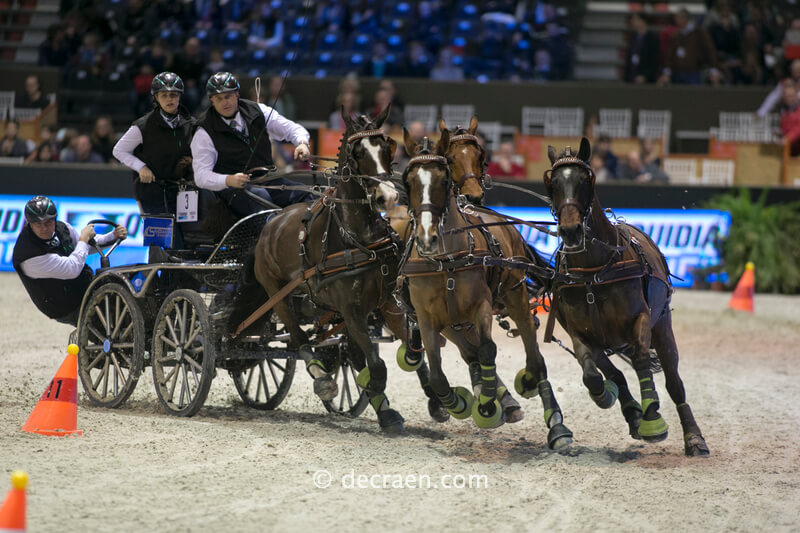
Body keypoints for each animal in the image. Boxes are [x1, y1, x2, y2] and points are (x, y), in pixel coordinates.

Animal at [252, 106, 407, 434]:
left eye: (387, 147)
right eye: (357, 152)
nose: (387, 196)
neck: (359, 237)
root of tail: (272, 220)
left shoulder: (387, 301)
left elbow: (410, 349)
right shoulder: (351, 308)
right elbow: (376, 365)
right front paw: (382, 404)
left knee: (344, 350)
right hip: (277, 295)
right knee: (299, 340)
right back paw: (322, 379)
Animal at [398, 129, 573, 450]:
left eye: (443, 179)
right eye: (409, 180)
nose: (427, 238)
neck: (446, 261)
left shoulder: (480, 307)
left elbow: (489, 350)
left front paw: (489, 405)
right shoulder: (429, 320)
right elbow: (440, 375)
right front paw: (460, 403)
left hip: (514, 297)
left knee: (535, 358)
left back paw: (555, 425)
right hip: (452, 324)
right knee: (472, 354)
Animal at [543, 137, 709, 456]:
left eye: (585, 180)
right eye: (553, 183)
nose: (570, 231)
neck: (594, 272)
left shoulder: (640, 319)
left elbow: (643, 360)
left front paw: (652, 419)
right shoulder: (581, 334)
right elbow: (594, 373)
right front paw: (614, 401)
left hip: (663, 328)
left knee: (674, 384)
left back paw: (694, 438)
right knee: (615, 373)